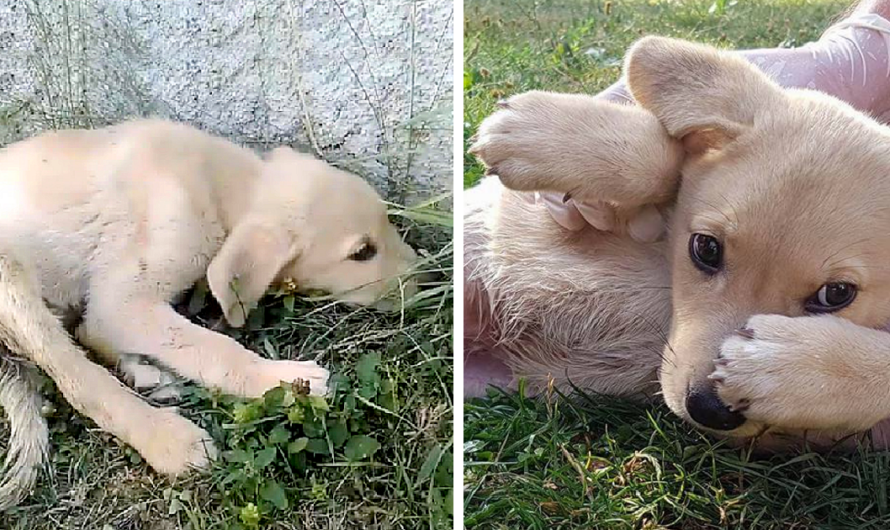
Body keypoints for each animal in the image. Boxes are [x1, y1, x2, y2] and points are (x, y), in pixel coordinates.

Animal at [0, 119, 418, 508]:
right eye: (362, 252)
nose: (429, 278)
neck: (217, 184)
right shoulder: (124, 299)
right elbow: (215, 348)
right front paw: (284, 380)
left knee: (86, 334)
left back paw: (145, 373)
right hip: (13, 281)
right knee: (79, 378)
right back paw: (168, 438)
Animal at [468, 37, 890, 450]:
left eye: (836, 294)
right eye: (706, 248)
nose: (709, 410)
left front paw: (787, 364)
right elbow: (669, 161)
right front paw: (541, 133)